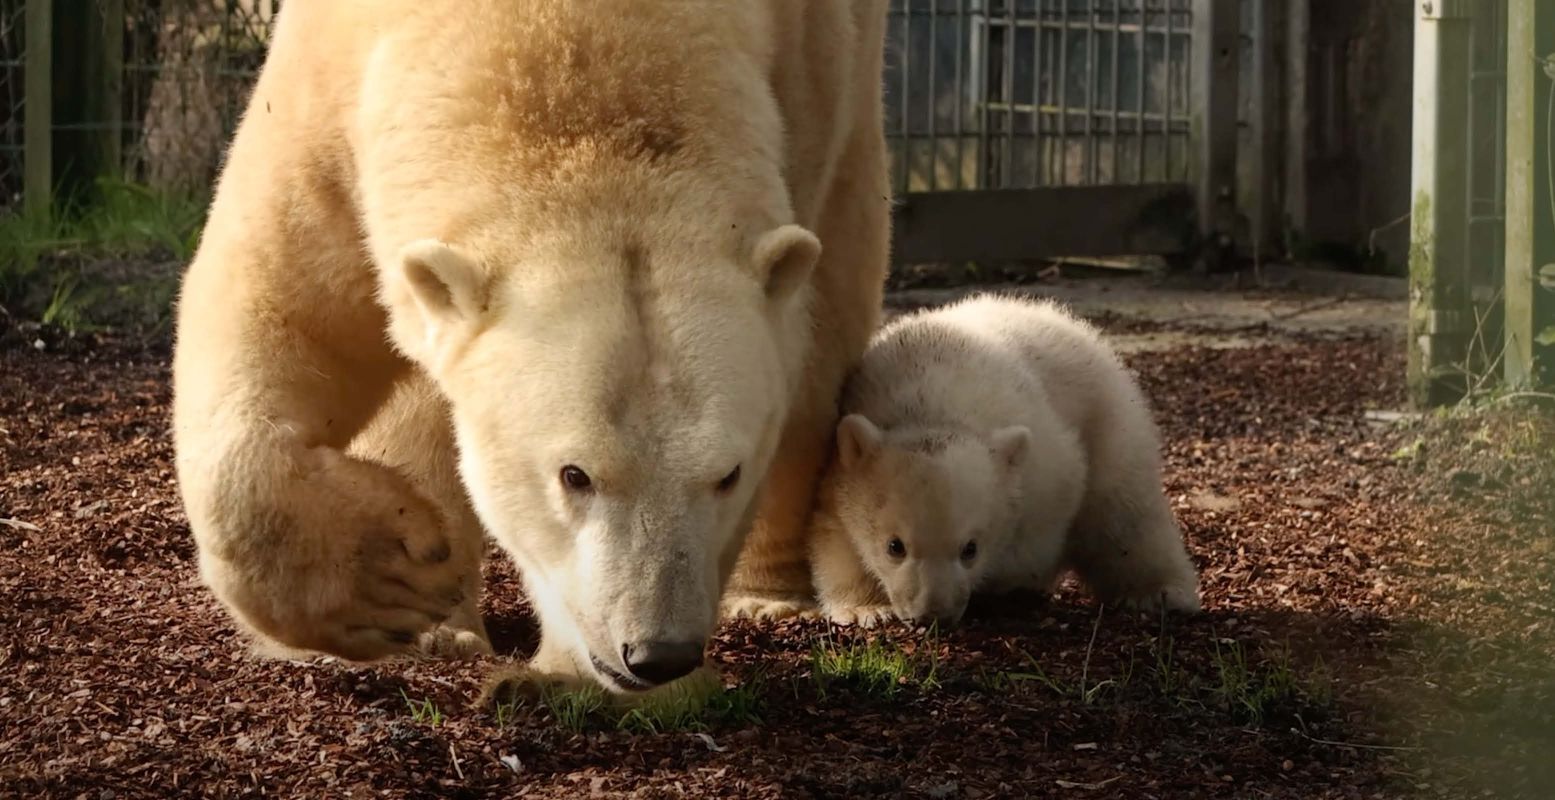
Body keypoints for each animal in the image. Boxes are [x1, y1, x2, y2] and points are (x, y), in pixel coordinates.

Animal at [170, 0, 889, 687]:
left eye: (727, 473)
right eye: (574, 474)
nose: (656, 653)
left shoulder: (806, 75)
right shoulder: (325, 95)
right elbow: (276, 302)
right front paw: (396, 586)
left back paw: (770, 596)